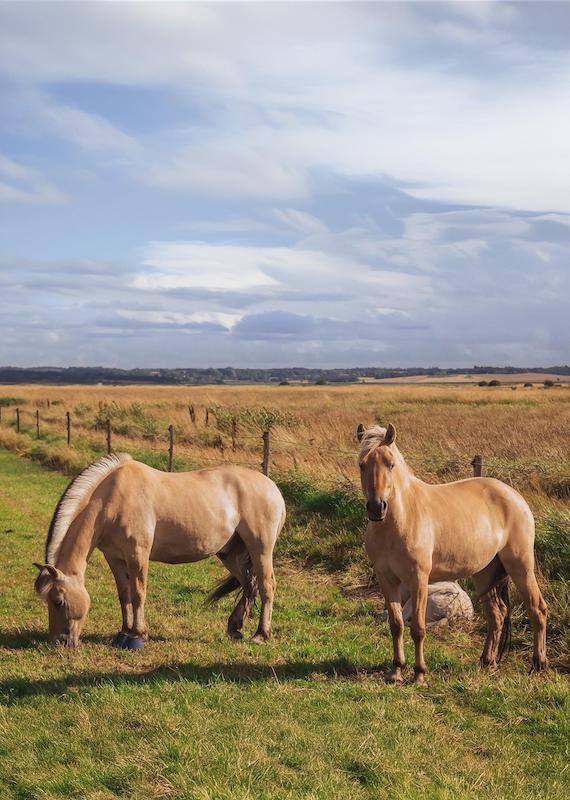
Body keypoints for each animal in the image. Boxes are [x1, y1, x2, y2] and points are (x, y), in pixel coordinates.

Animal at [32, 454, 284, 648]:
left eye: (58, 601)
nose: (59, 641)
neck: (112, 500)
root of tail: (273, 488)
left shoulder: (138, 553)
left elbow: (138, 593)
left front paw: (138, 635)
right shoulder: (114, 557)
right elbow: (124, 594)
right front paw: (124, 632)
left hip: (260, 549)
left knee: (267, 585)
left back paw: (261, 635)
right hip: (230, 553)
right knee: (249, 584)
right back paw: (235, 627)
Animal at [356, 422, 544, 684]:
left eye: (390, 464)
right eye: (362, 464)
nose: (377, 507)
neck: (401, 519)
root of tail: (514, 496)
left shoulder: (418, 580)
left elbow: (418, 628)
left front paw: (419, 674)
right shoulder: (387, 579)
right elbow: (396, 625)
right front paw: (396, 672)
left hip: (521, 566)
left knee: (537, 609)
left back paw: (538, 665)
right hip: (484, 573)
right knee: (496, 615)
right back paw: (487, 662)